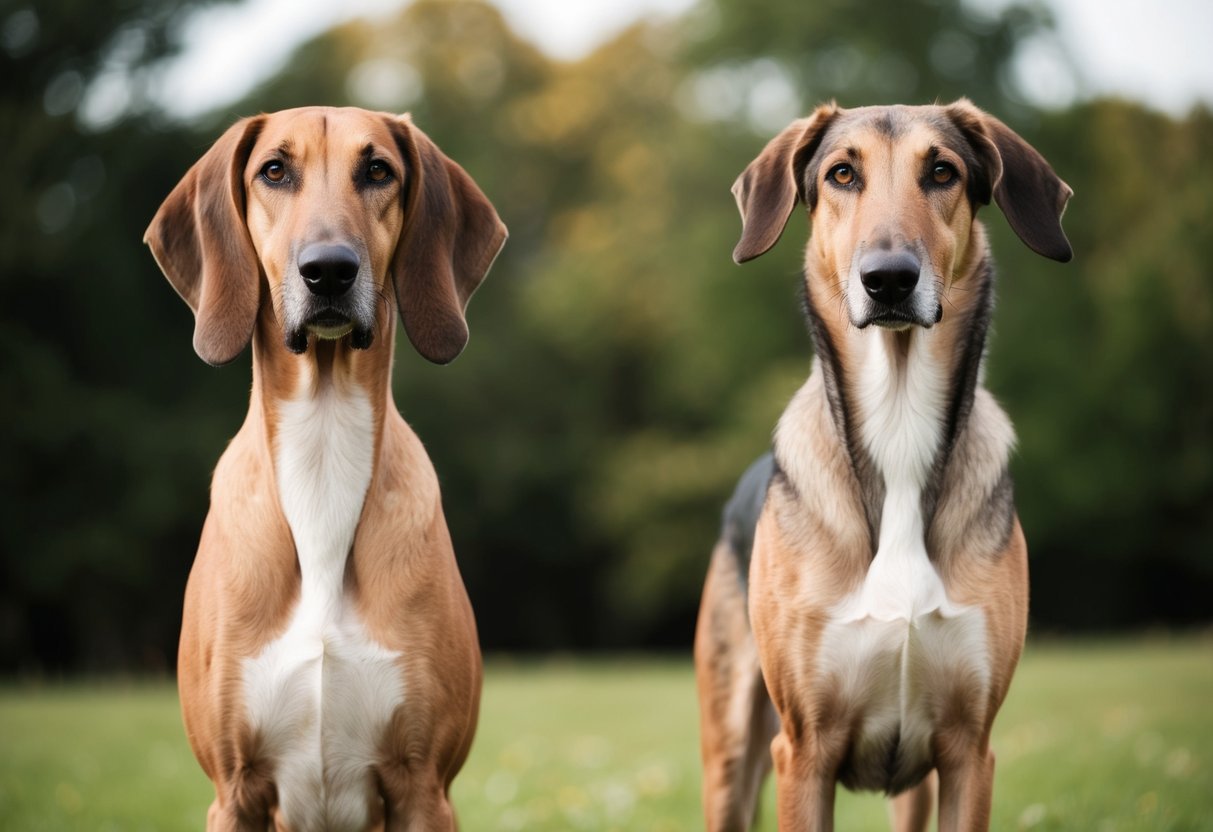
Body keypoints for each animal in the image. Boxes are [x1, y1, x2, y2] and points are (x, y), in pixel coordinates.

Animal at [146, 107, 507, 829]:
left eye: (378, 171)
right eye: (273, 171)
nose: (329, 271)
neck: (323, 445)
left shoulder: (425, 786)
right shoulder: (233, 790)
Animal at [693, 101, 1072, 829]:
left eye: (942, 172)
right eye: (842, 173)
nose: (889, 278)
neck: (898, 427)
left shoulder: (969, 752)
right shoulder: (802, 752)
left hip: (913, 788)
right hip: (730, 753)